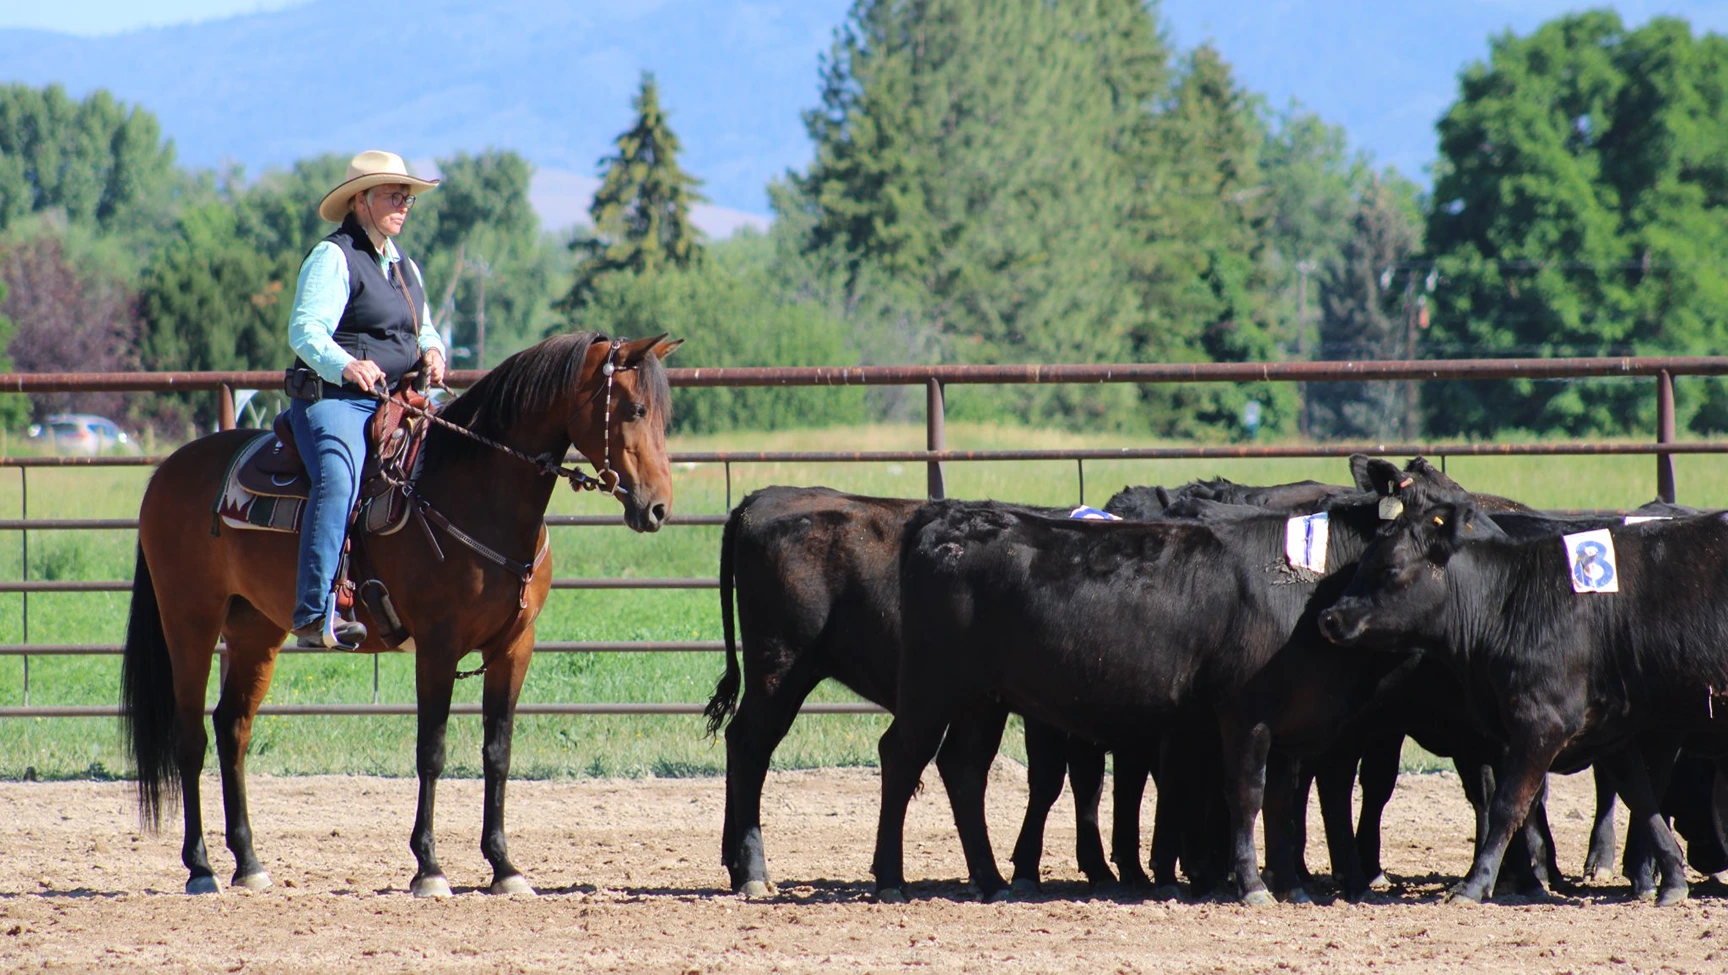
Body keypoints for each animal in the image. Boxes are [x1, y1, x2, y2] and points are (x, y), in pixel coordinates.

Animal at [1318, 501, 1728, 905]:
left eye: (1391, 567)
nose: (1329, 617)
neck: (1510, 602)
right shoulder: (1611, 730)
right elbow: (1641, 799)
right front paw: (1672, 878)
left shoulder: (1542, 722)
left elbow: (1508, 804)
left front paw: (1475, 884)